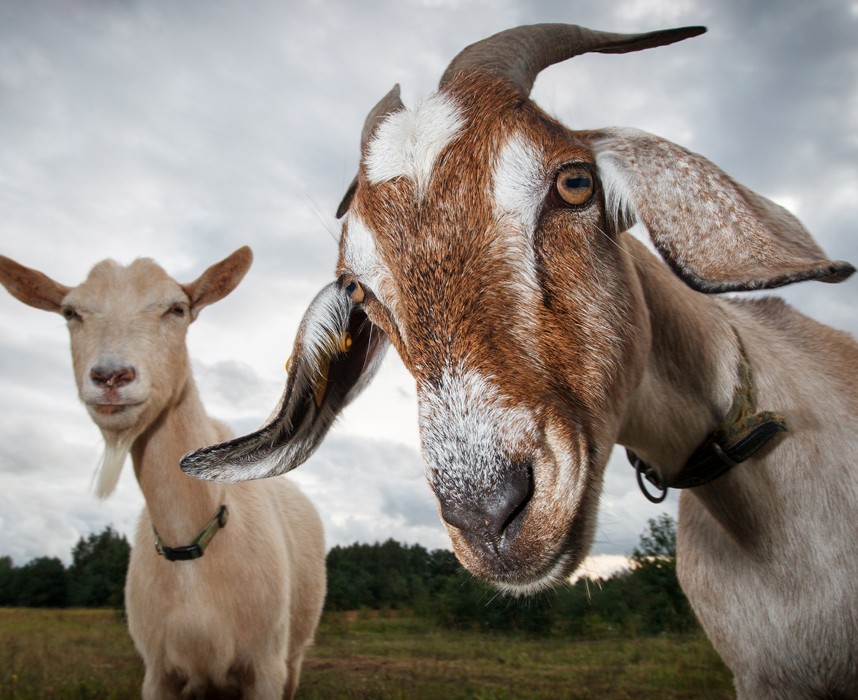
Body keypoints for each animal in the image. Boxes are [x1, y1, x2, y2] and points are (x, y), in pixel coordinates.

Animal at [0, 247, 324, 700]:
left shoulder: (265, 669)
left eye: (177, 309)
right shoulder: (158, 673)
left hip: (294, 654)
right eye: (70, 312)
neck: (191, 544)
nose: (111, 376)